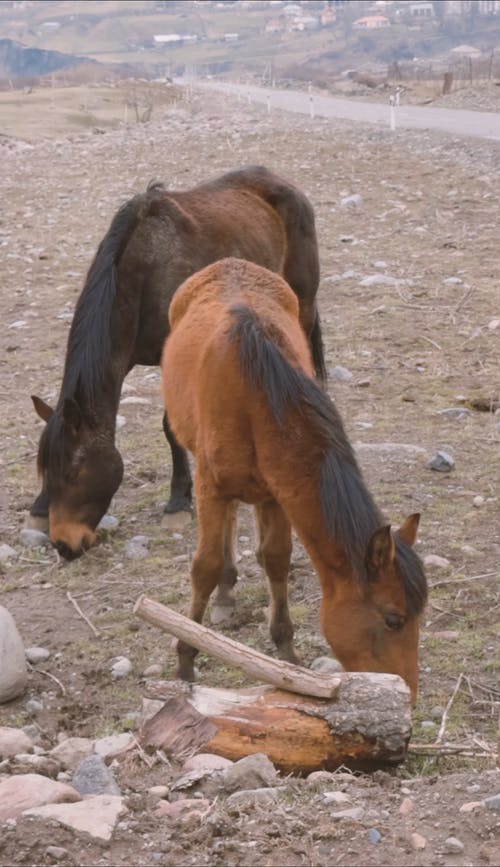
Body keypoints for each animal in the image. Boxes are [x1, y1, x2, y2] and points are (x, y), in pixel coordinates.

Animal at [31, 168, 326, 564]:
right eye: (46, 470)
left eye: (76, 471)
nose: (65, 545)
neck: (142, 274)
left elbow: (170, 427)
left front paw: (178, 499)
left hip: (302, 298)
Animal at [162, 258, 428, 704]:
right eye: (393, 619)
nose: (404, 696)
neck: (256, 397)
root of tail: (227, 262)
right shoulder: (210, 486)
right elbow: (205, 566)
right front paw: (185, 662)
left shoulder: (279, 494)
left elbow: (276, 560)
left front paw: (287, 656)